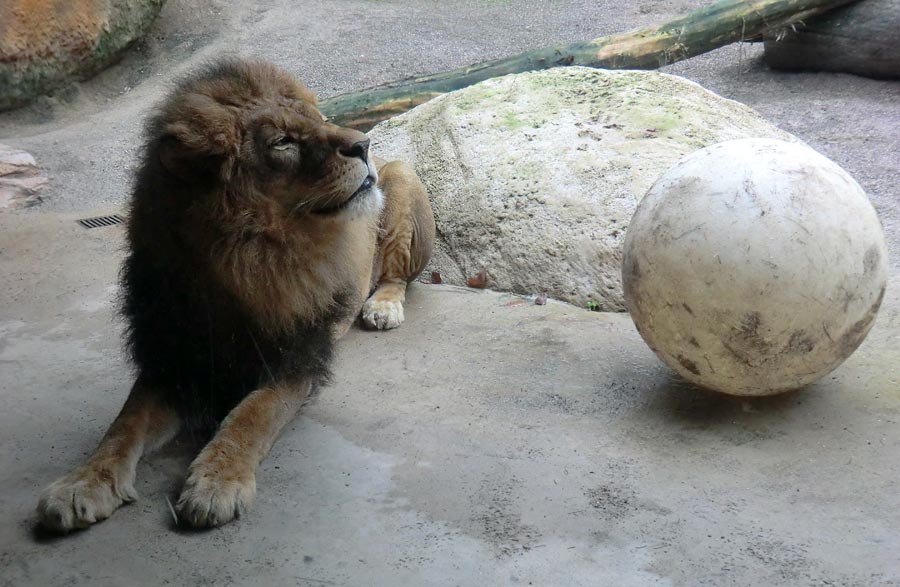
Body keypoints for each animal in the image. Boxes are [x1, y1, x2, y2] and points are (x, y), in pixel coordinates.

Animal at [31, 58, 432, 532]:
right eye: (283, 142)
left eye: (319, 119)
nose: (364, 144)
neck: (241, 266)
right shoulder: (172, 362)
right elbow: (123, 425)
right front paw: (82, 483)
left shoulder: (297, 359)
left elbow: (252, 414)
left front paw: (217, 481)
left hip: (402, 179)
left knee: (396, 276)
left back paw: (382, 307)